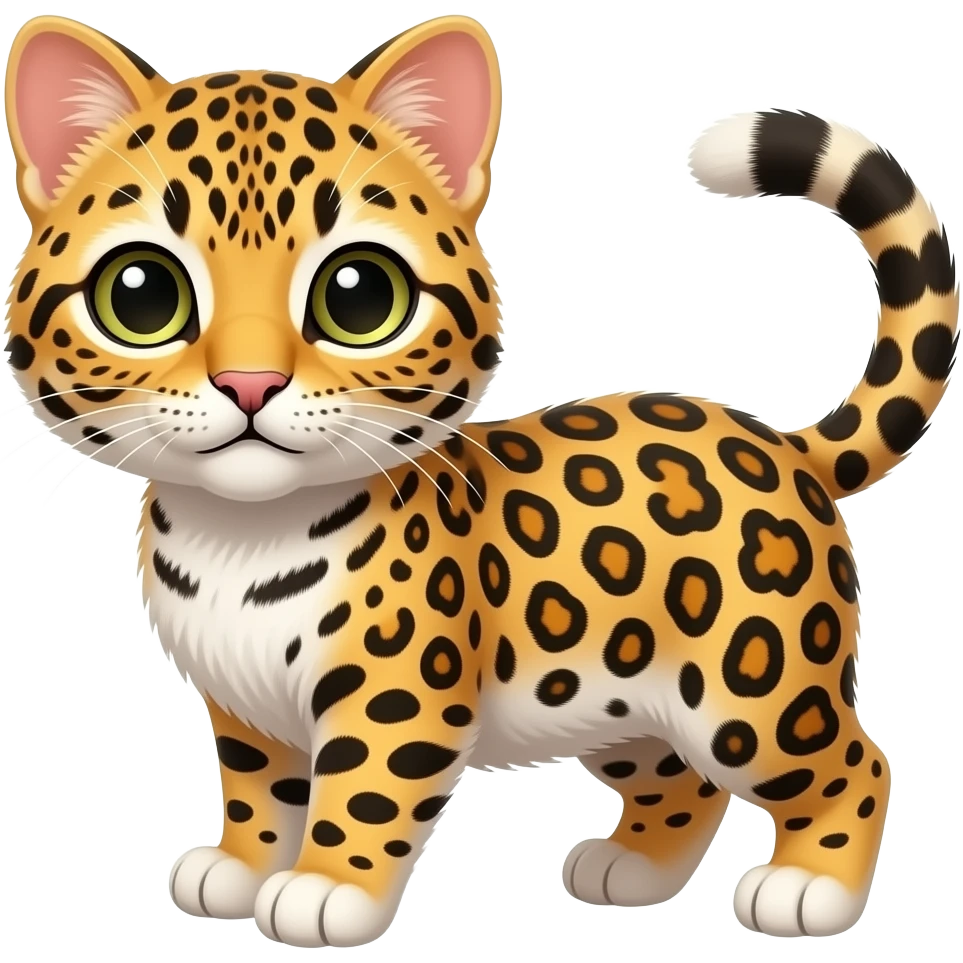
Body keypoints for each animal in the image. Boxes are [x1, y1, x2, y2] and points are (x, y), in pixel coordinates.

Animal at [3, 12, 958, 948]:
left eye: (358, 296)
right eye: (141, 295)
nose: (248, 384)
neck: (237, 539)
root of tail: (786, 445)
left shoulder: (395, 694)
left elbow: (364, 794)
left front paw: (324, 889)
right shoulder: (244, 711)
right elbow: (257, 792)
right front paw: (239, 868)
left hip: (750, 690)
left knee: (855, 762)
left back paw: (807, 888)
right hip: (616, 701)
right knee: (682, 779)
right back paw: (632, 868)